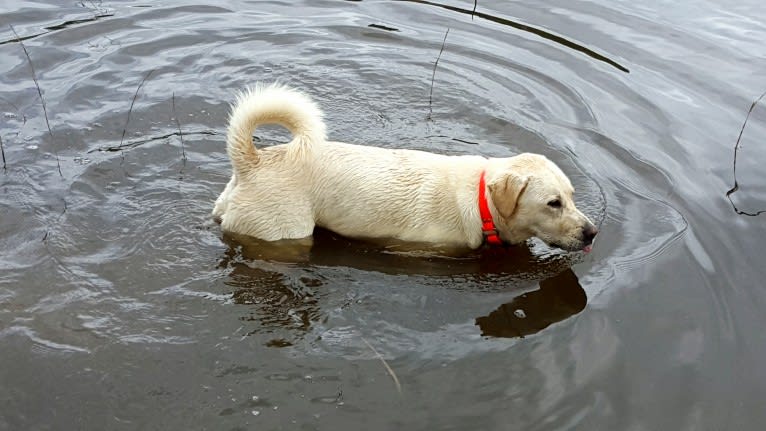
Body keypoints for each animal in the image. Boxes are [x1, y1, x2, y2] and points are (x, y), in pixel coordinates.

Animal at [214, 83, 600, 253]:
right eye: (553, 203)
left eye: (572, 196)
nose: (593, 233)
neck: (481, 202)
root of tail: (253, 161)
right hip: (283, 232)